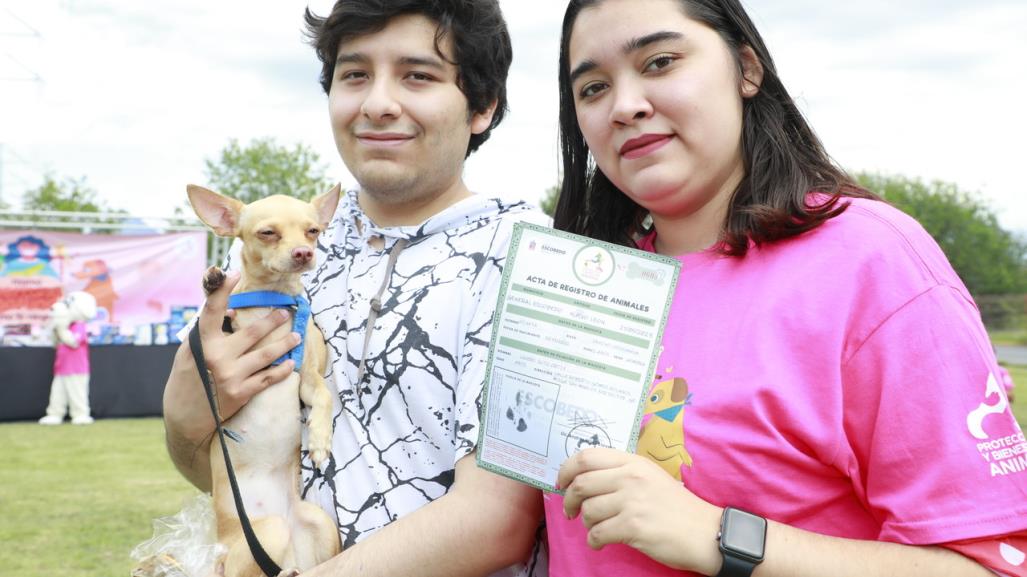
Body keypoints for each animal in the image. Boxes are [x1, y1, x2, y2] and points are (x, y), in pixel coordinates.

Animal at [186, 184, 343, 574]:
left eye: (313, 231)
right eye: (267, 233)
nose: (303, 252)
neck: (274, 299)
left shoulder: (307, 377)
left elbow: (323, 395)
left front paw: (320, 439)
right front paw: (213, 282)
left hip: (318, 524)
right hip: (266, 533)